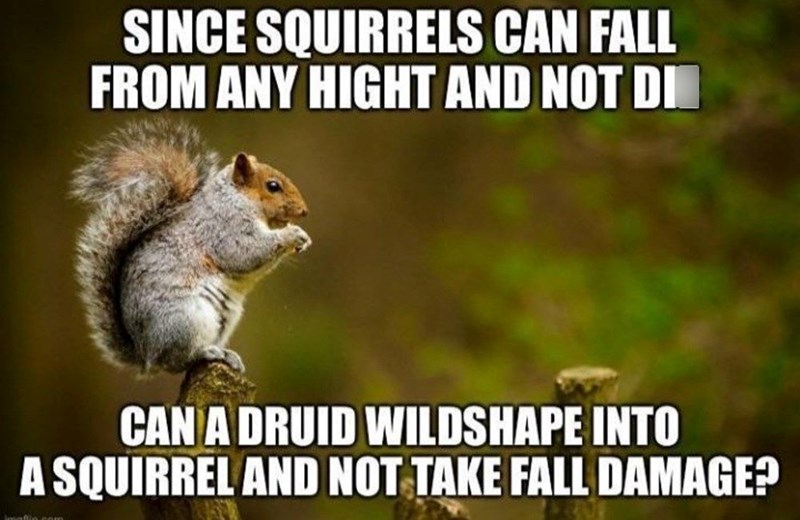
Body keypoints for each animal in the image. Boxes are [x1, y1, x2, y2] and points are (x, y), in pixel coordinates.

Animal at [72, 119, 311, 374]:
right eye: (273, 186)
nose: (304, 211)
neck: (236, 198)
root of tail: (146, 354)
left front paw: (302, 238)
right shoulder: (225, 228)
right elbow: (246, 252)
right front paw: (292, 234)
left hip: (224, 319)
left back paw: (228, 355)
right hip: (186, 319)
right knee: (177, 360)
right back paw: (207, 352)